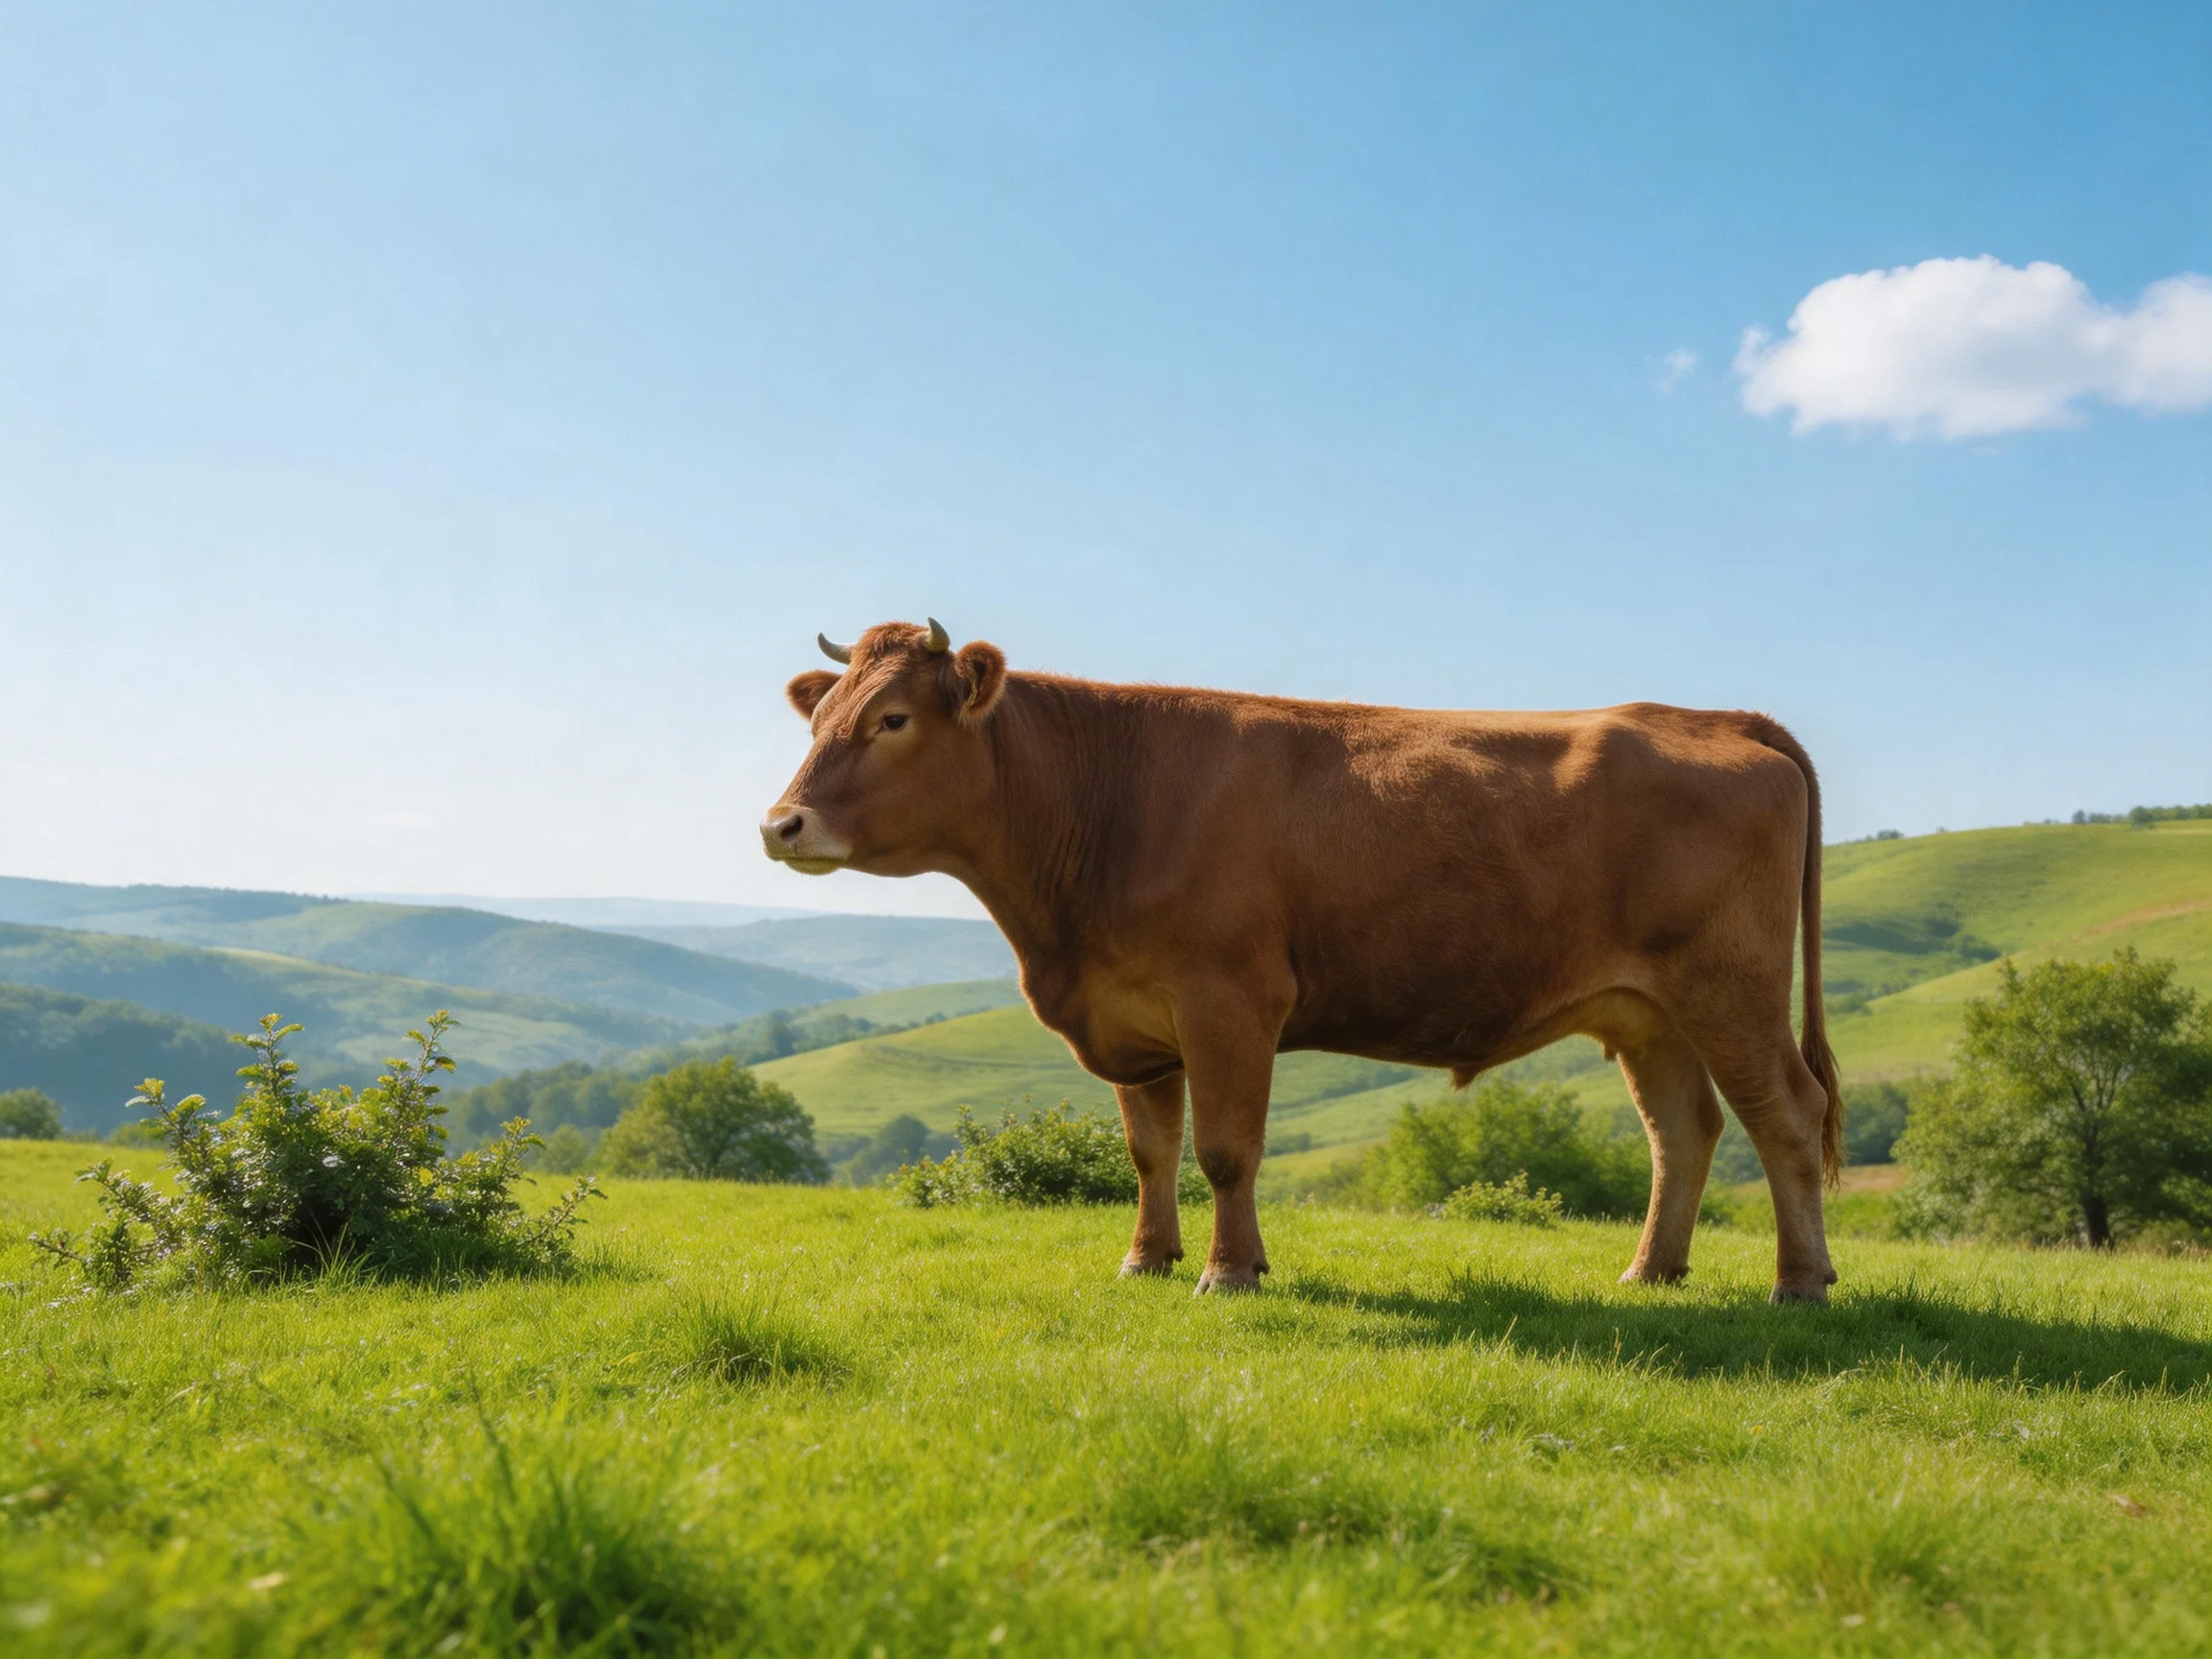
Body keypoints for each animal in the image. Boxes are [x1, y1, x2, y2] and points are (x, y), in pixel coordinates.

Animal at [761, 618, 1844, 1303]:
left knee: (1786, 1115)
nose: (781, 823)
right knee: (1683, 1131)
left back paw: (1800, 1283)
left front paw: (1229, 1272)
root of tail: (1709, 716)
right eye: (819, 720)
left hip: (1732, 988)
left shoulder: (1230, 999)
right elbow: (1151, 1151)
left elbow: (1226, 1149)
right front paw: (1146, 1260)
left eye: (892, 720)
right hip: (1647, 1010)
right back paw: (1650, 1271)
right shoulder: (1135, 1020)